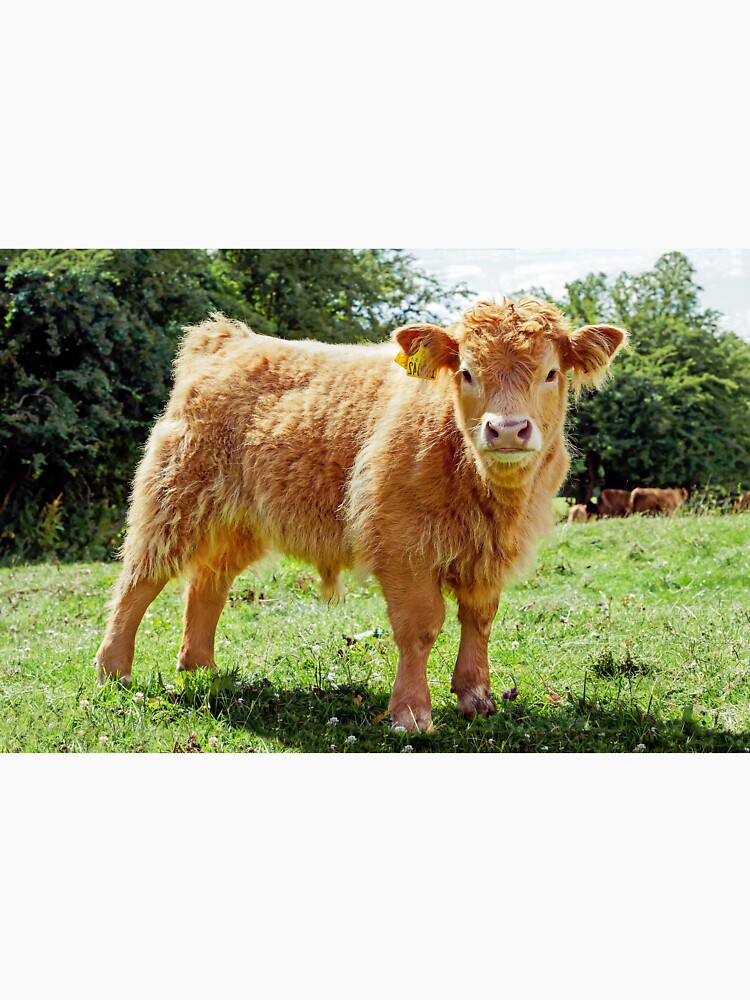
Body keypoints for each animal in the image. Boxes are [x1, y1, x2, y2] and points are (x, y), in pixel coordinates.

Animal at [95, 299, 628, 731]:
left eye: (551, 373)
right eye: (467, 372)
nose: (508, 429)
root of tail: (229, 338)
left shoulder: (490, 553)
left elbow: (479, 618)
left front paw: (476, 698)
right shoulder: (403, 545)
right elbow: (421, 626)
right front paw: (411, 713)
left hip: (238, 521)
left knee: (207, 584)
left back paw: (200, 668)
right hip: (173, 498)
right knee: (138, 582)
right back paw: (113, 671)